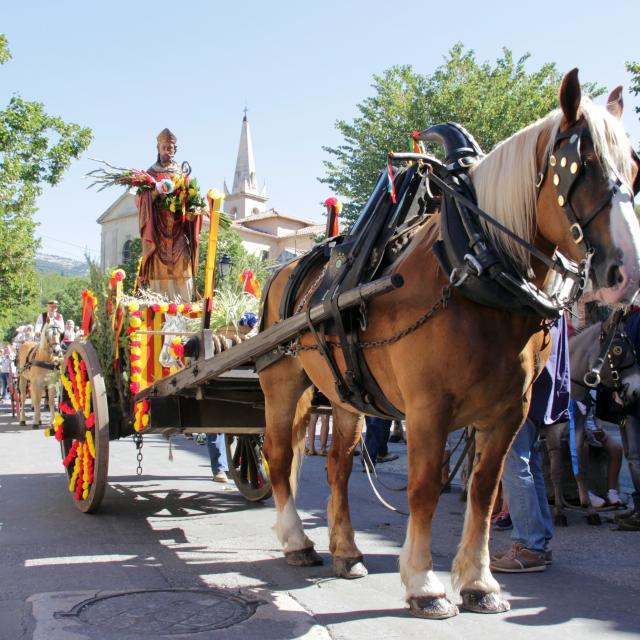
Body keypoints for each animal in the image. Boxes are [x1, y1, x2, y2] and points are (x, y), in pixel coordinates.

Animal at [258, 71, 640, 620]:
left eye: (634, 167)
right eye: (581, 164)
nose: (624, 272)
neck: (473, 264)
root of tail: (287, 269)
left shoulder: (510, 411)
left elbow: (484, 490)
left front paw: (479, 582)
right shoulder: (427, 408)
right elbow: (423, 489)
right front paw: (424, 583)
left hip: (344, 394)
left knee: (338, 465)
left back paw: (347, 552)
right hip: (283, 381)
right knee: (277, 452)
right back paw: (296, 541)